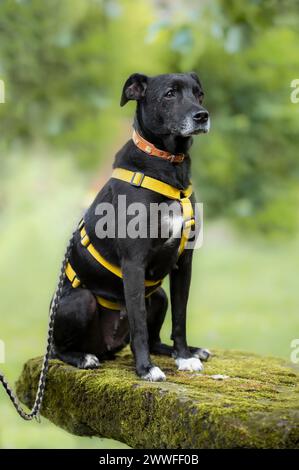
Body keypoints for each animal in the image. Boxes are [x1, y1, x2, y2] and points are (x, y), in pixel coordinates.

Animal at [51, 72, 211, 382]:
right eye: (170, 94)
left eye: (199, 93)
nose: (202, 116)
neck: (167, 165)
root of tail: (107, 347)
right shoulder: (134, 263)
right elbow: (138, 325)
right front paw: (146, 369)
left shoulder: (184, 263)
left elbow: (181, 317)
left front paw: (184, 356)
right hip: (81, 301)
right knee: (57, 349)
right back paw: (82, 357)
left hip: (158, 295)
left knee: (156, 338)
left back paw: (188, 351)